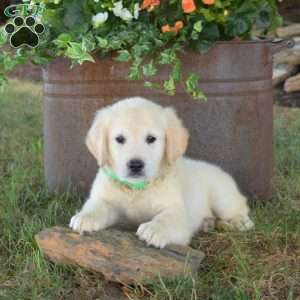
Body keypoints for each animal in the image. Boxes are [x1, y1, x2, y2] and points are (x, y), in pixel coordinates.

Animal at [69, 97, 253, 247]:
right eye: (119, 139)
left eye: (151, 139)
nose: (135, 165)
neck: (137, 188)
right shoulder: (105, 199)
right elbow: (96, 206)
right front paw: (85, 217)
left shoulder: (178, 213)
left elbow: (167, 218)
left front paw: (154, 229)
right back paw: (207, 223)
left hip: (222, 197)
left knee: (241, 208)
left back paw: (239, 222)